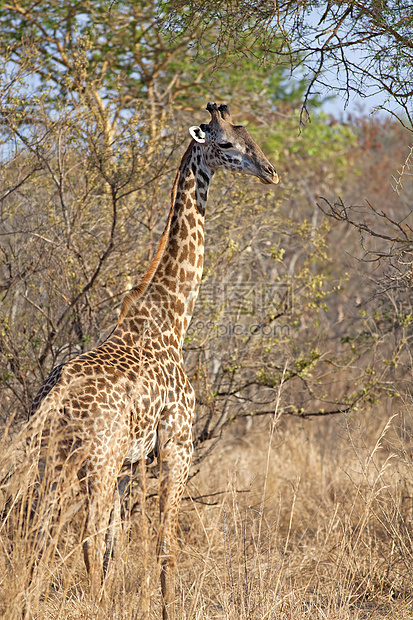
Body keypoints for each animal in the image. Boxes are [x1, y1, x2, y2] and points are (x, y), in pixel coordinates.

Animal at [29, 103, 276, 620]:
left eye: (251, 136)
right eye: (226, 143)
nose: (270, 171)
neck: (172, 319)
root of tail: (54, 398)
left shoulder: (130, 461)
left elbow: (115, 547)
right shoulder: (176, 443)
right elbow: (163, 545)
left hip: (54, 462)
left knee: (42, 533)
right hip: (95, 462)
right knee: (81, 537)